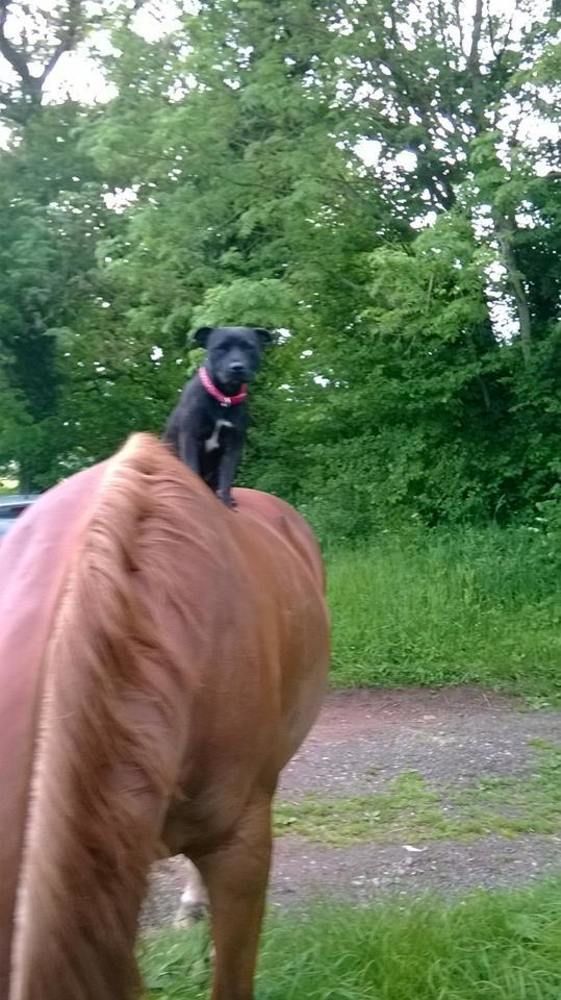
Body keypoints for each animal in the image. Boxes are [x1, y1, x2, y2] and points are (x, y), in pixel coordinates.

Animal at [162, 324, 272, 508]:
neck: (224, 397)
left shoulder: (233, 445)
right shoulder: (190, 437)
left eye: (249, 347)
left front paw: (226, 502)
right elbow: (192, 469)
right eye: (220, 348)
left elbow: (226, 477)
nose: (237, 367)